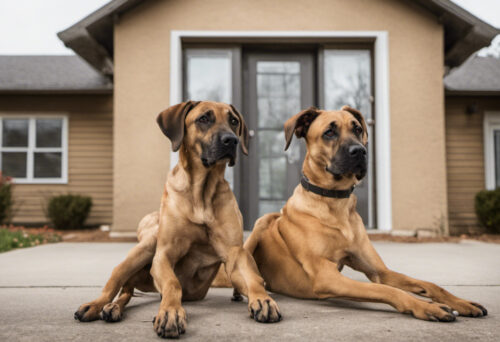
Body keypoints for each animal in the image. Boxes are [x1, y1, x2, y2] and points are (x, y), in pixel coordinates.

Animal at [76, 100, 284, 338]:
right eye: (204, 118)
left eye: (233, 121)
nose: (232, 140)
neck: (202, 192)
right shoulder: (164, 254)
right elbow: (172, 283)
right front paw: (170, 313)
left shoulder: (235, 253)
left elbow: (253, 278)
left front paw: (263, 299)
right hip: (146, 246)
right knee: (118, 281)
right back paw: (100, 305)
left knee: (127, 291)